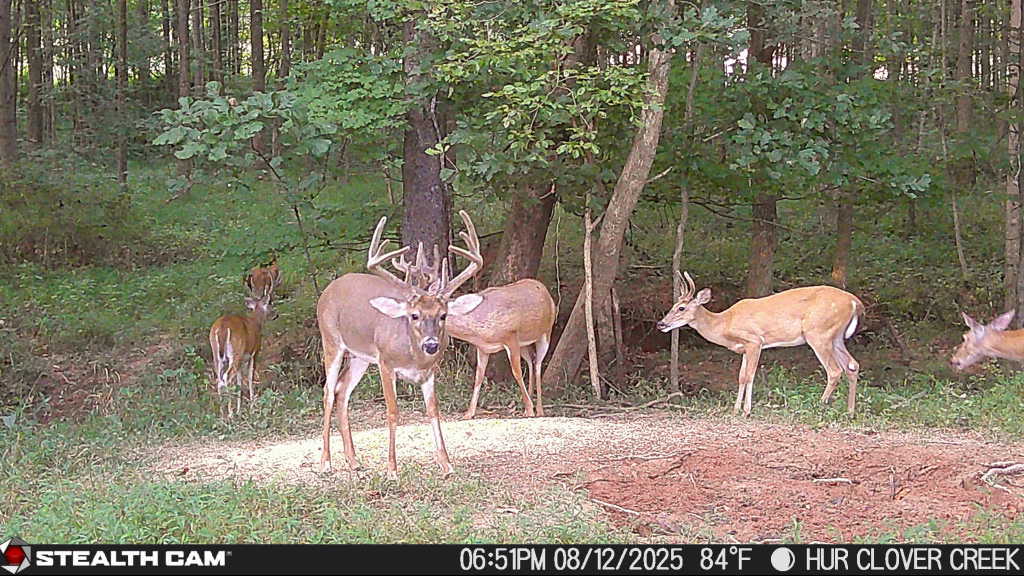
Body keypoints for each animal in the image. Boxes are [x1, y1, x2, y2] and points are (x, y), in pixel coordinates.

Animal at [316, 211, 483, 478]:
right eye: (414, 315)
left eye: (443, 315)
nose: (431, 345)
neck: (413, 356)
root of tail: (329, 288)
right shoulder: (386, 363)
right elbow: (393, 411)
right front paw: (392, 469)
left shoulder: (429, 373)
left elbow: (433, 410)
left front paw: (446, 464)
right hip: (331, 339)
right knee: (328, 391)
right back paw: (325, 462)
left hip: (360, 357)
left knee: (343, 390)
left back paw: (354, 461)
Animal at [443, 278, 556, 420]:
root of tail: (544, 288)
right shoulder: (483, 348)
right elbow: (479, 376)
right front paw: (469, 413)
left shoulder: (511, 337)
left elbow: (517, 372)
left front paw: (530, 409)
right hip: (523, 344)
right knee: (531, 361)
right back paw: (528, 405)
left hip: (546, 332)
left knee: (538, 364)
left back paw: (539, 410)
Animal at [656, 272, 865, 416]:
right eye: (672, 306)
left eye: (681, 308)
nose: (661, 324)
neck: (725, 323)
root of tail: (855, 302)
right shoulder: (744, 349)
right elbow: (741, 377)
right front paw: (735, 409)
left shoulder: (755, 341)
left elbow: (750, 375)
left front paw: (747, 410)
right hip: (835, 337)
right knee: (852, 365)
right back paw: (850, 411)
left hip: (818, 333)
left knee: (835, 370)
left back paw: (819, 406)